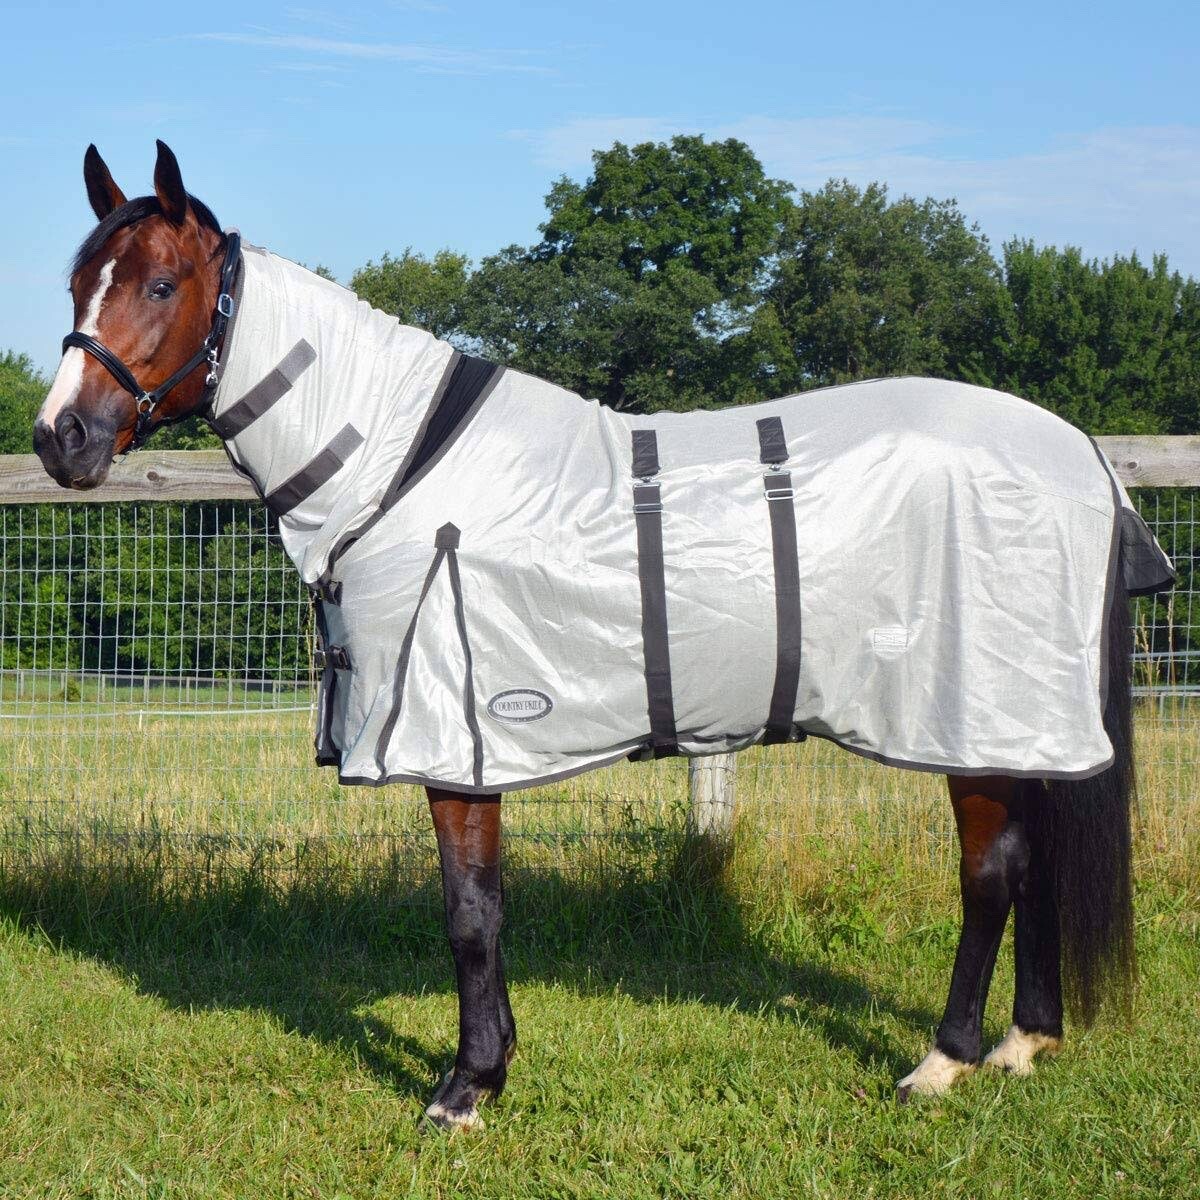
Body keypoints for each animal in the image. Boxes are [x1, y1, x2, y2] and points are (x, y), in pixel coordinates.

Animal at [34, 141, 1173, 1131]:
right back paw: (1024, 1042)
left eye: (160, 286)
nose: (61, 439)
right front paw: (489, 1066)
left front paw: (466, 1088)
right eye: (79, 282)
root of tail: (1076, 451)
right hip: (1014, 723)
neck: (398, 462)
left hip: (968, 719)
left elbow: (470, 912)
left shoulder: (459, 741)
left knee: (991, 875)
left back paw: (943, 1059)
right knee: (1031, 863)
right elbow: (482, 909)